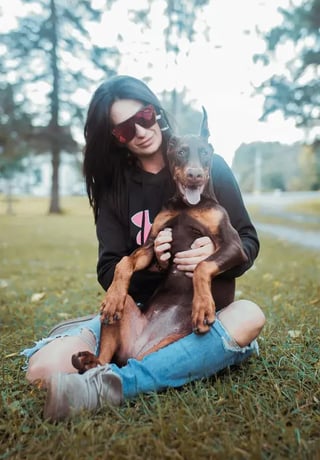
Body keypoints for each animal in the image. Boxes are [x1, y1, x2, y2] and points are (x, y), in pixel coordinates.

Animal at [72, 108, 248, 374]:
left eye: (205, 153)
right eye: (181, 152)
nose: (194, 175)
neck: (187, 205)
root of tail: (137, 351)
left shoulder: (234, 245)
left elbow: (201, 265)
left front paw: (202, 306)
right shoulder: (153, 243)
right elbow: (124, 262)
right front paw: (112, 298)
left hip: (173, 344)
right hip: (127, 315)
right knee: (106, 358)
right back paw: (90, 360)